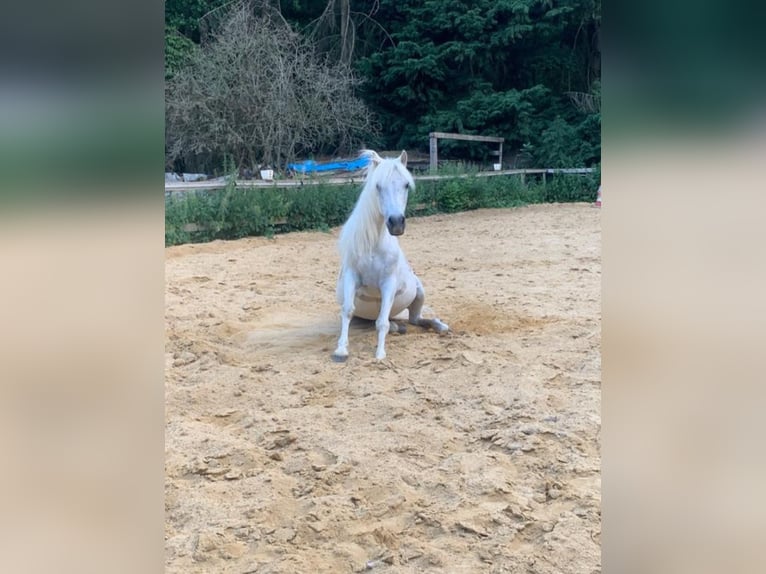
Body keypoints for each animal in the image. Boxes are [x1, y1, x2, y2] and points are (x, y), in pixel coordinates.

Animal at [332, 151, 450, 362]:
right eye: (378, 186)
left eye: (406, 185)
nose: (396, 223)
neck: (374, 246)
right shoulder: (352, 277)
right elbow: (347, 311)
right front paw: (341, 350)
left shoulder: (388, 283)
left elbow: (382, 323)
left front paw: (380, 354)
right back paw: (399, 327)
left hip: (419, 292)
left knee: (415, 319)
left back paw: (440, 326)